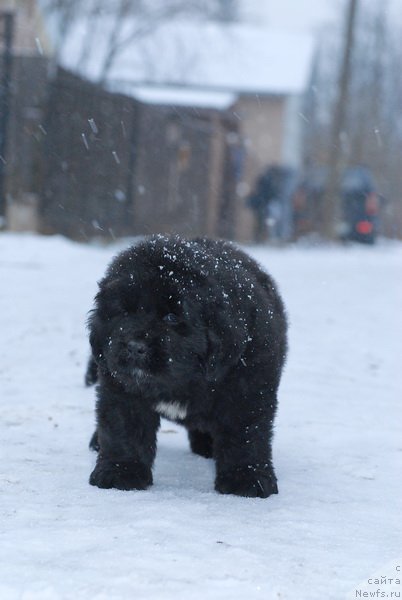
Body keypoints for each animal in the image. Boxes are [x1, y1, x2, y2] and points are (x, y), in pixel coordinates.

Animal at [87, 237, 288, 500]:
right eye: (125, 311)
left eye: (172, 317)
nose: (134, 347)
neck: (183, 382)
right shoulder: (121, 389)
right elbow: (123, 429)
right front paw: (120, 472)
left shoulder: (246, 391)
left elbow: (245, 434)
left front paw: (246, 478)